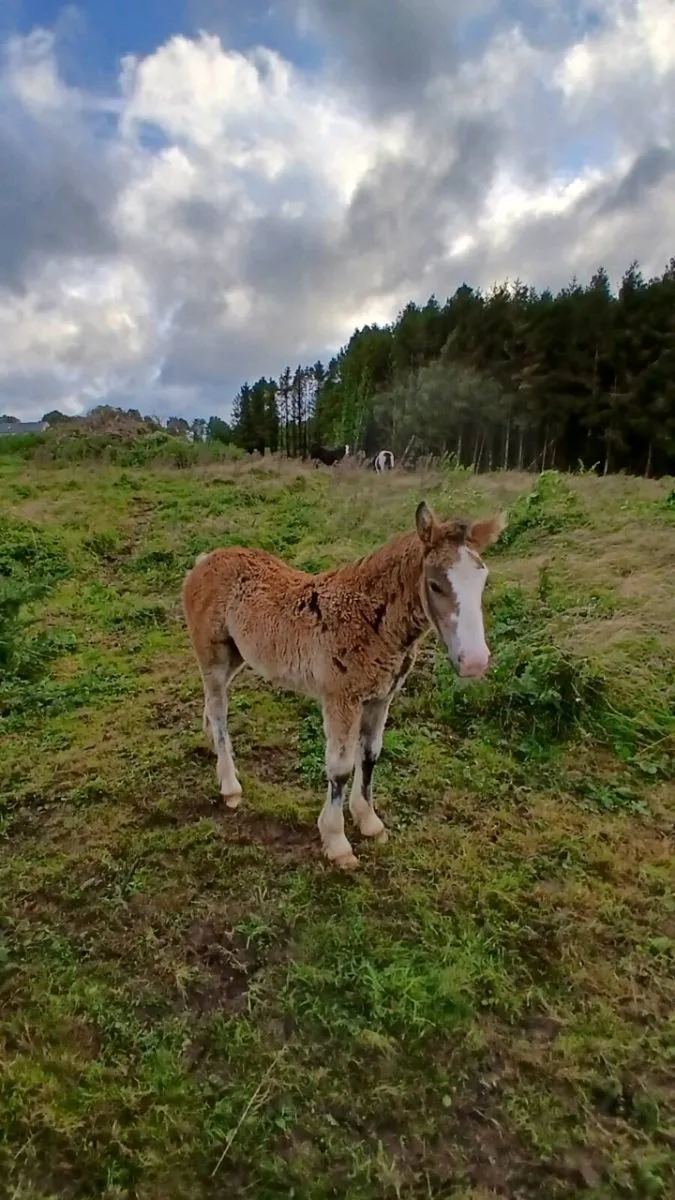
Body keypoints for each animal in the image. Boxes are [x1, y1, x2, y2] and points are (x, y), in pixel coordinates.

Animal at [182, 501, 507, 869]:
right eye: (436, 585)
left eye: (483, 580)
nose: (475, 661)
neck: (371, 620)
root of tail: (205, 560)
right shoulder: (341, 699)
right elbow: (339, 768)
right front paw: (337, 841)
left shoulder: (380, 697)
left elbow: (370, 755)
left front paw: (368, 820)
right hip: (212, 657)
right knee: (220, 712)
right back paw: (230, 785)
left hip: (237, 657)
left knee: (212, 705)